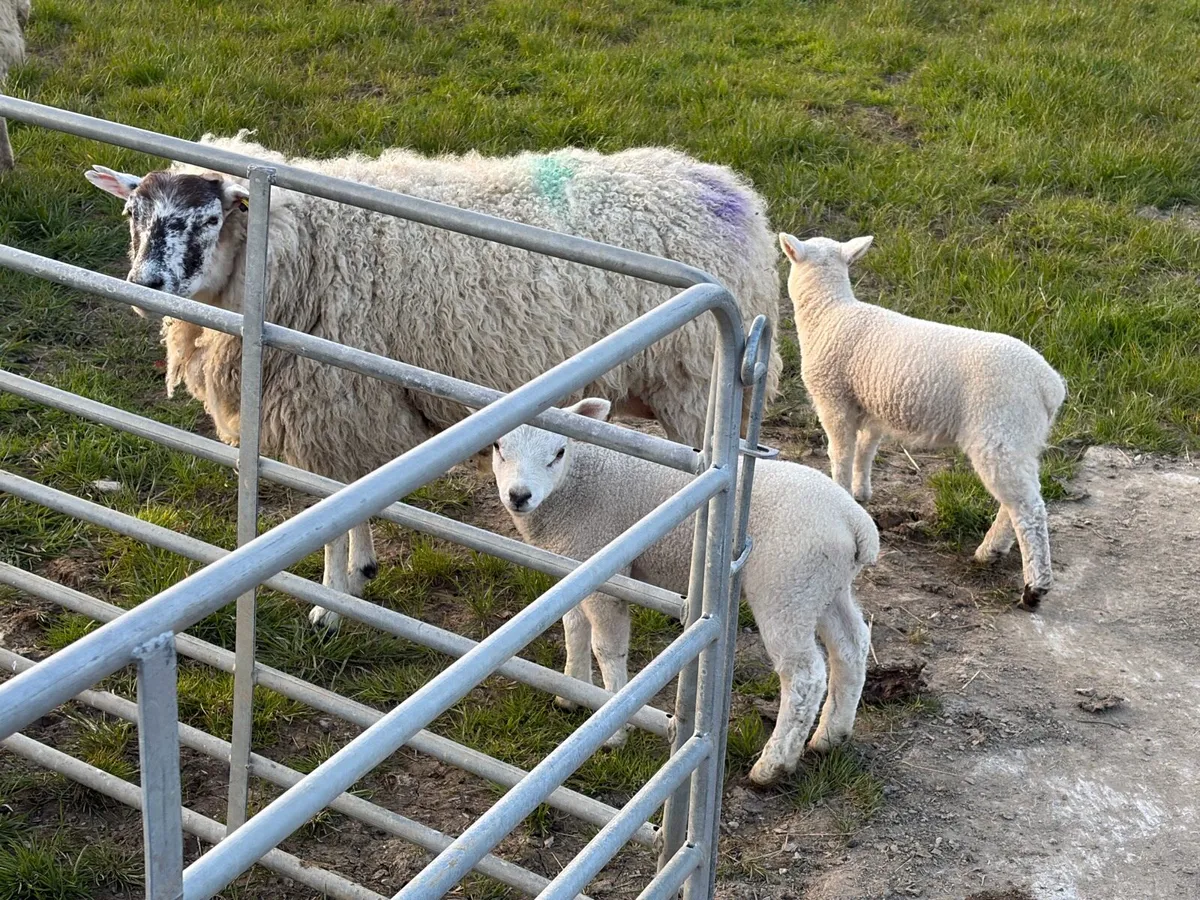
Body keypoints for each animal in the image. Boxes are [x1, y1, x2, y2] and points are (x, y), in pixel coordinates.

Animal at [84, 134, 782, 629]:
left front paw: (333, 601)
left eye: (206, 220)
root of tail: (728, 191)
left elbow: (330, 511)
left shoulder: (337, 404)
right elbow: (345, 502)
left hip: (694, 385)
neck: (297, 252)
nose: (145, 286)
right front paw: (359, 573)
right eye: (132, 213)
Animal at [492, 398, 878, 784]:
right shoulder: (573, 565)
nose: (519, 496)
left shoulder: (606, 571)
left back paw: (772, 765)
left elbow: (607, 648)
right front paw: (571, 692)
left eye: (558, 452)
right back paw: (831, 735)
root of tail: (855, 521)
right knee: (851, 645)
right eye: (498, 446)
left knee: (804, 676)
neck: (577, 483)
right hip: (822, 586)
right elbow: (573, 627)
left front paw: (612, 728)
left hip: (786, 586)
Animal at [779, 232, 1066, 610]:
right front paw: (861, 492)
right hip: (1021, 438)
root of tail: (1049, 385)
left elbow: (840, 453)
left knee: (1029, 508)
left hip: (999, 430)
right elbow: (866, 450)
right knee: (1020, 500)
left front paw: (841, 491)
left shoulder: (834, 399)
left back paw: (1034, 587)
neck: (829, 313)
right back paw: (991, 550)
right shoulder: (873, 407)